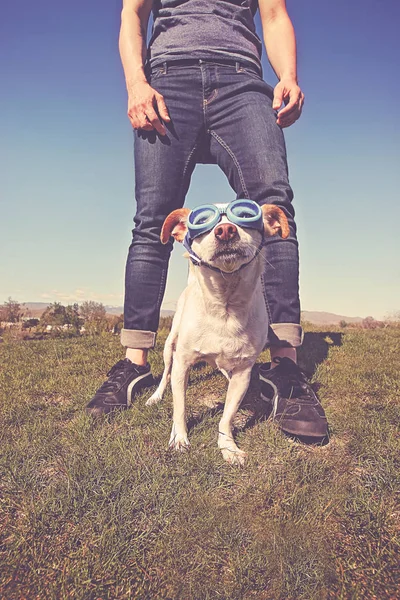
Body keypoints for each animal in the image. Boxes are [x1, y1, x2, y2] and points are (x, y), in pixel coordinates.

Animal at [145, 199, 290, 466]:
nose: (225, 231)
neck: (225, 304)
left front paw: (228, 447)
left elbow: (227, 416)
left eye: (246, 215)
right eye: (202, 221)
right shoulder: (182, 364)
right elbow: (180, 407)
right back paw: (156, 396)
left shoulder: (243, 372)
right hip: (169, 347)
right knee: (166, 374)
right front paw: (179, 438)